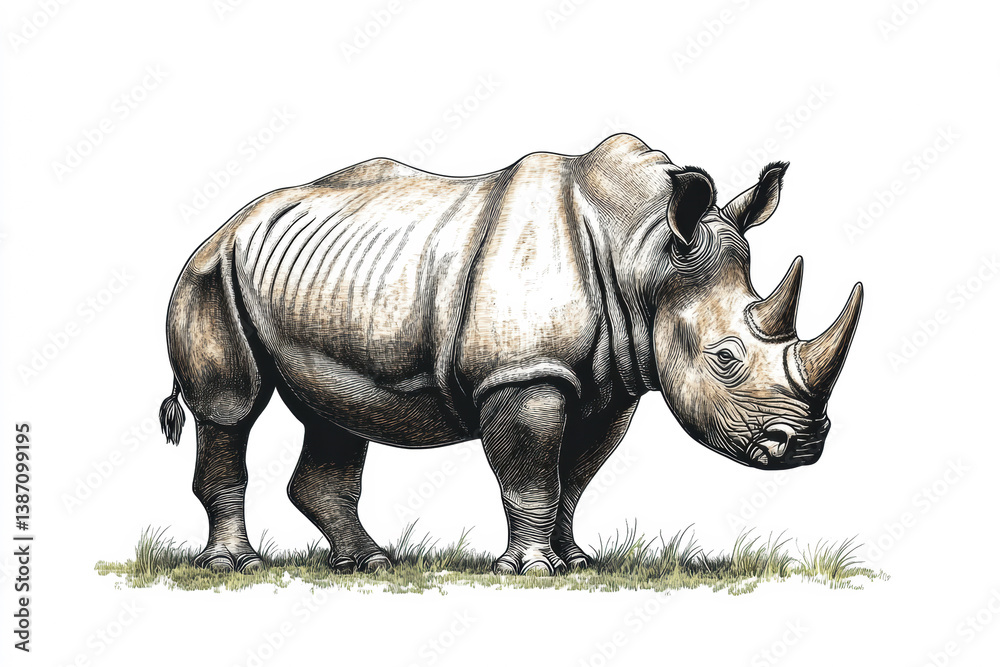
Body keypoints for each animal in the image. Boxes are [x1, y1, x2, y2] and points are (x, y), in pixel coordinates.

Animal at [159, 133, 862, 575]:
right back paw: (236, 565)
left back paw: (368, 563)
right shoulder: (522, 375)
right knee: (229, 408)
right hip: (209, 273)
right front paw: (530, 569)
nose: (804, 446)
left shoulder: (609, 384)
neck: (643, 252)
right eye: (725, 359)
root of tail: (226, 224)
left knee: (335, 415)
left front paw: (576, 563)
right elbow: (529, 474)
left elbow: (572, 478)